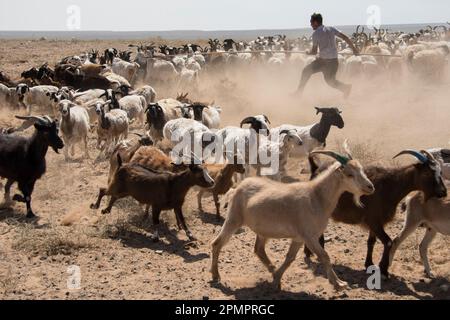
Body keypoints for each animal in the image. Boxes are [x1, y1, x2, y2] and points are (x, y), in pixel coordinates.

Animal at [209, 148, 374, 290]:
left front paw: (276, 278)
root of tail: (237, 188)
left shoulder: (299, 238)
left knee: (259, 249)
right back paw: (216, 275)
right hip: (233, 219)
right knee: (217, 243)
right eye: (349, 174)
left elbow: (290, 258)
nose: (370, 187)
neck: (316, 197)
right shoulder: (309, 236)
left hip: (262, 230)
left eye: (361, 170)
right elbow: (324, 256)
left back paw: (272, 270)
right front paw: (338, 283)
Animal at [304, 149, 448, 276]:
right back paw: (310, 252)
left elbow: (371, 242)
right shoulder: (374, 221)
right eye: (428, 173)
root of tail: (315, 169)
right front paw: (383, 269)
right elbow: (388, 242)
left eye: (440, 172)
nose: (443, 192)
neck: (391, 184)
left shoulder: (376, 223)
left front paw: (369, 264)